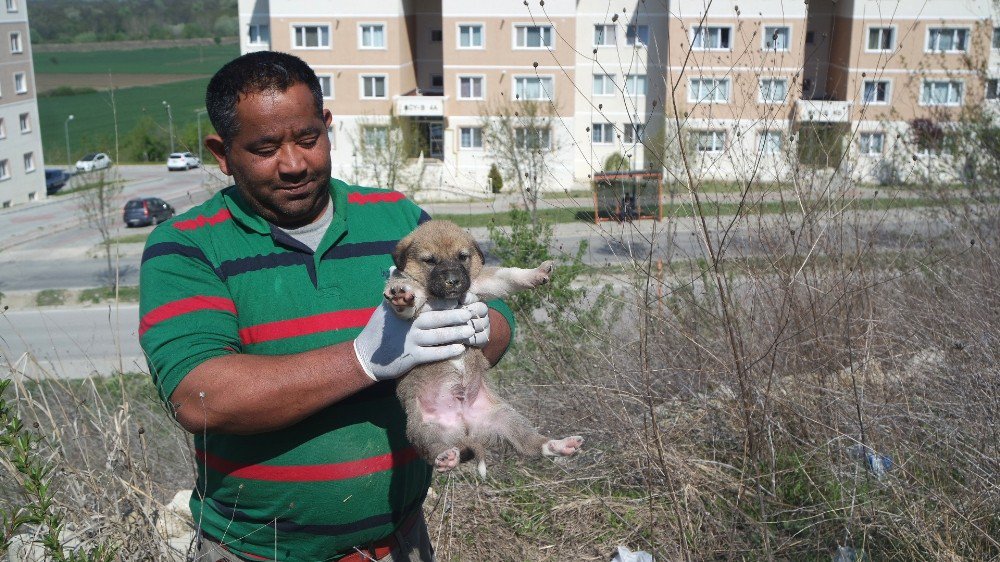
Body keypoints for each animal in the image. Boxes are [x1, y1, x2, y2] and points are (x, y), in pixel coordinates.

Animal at [384, 219, 584, 472]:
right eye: (429, 260)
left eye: (463, 257)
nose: (453, 281)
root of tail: (466, 427)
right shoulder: (415, 308)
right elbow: (407, 298)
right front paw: (401, 294)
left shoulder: (482, 282)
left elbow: (509, 275)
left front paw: (536, 273)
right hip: (423, 429)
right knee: (434, 449)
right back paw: (446, 458)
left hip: (506, 418)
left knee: (531, 444)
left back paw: (560, 445)